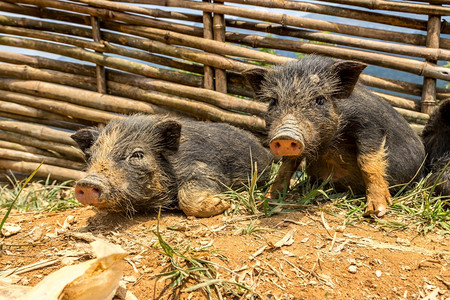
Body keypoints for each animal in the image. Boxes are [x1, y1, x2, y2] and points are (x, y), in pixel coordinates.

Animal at [244, 55, 424, 217]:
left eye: (320, 100)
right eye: (273, 101)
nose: (286, 136)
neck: (327, 144)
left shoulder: (370, 125)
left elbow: (368, 163)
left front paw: (375, 211)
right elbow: (286, 167)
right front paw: (267, 201)